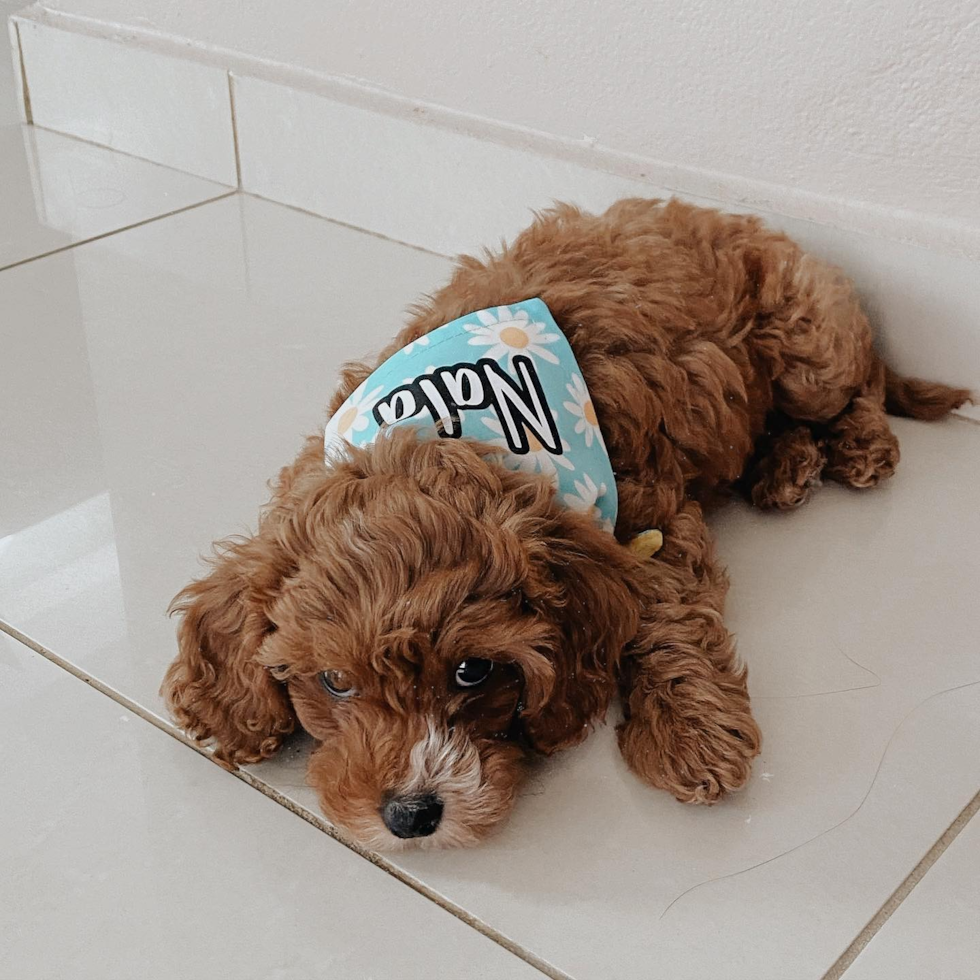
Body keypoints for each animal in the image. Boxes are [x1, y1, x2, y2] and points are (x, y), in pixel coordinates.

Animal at [163, 195, 972, 848]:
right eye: (332, 680)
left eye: (473, 670)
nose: (410, 816)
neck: (453, 428)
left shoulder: (647, 523)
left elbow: (669, 620)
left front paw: (693, 736)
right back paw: (787, 466)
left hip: (809, 344)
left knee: (856, 386)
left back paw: (857, 446)